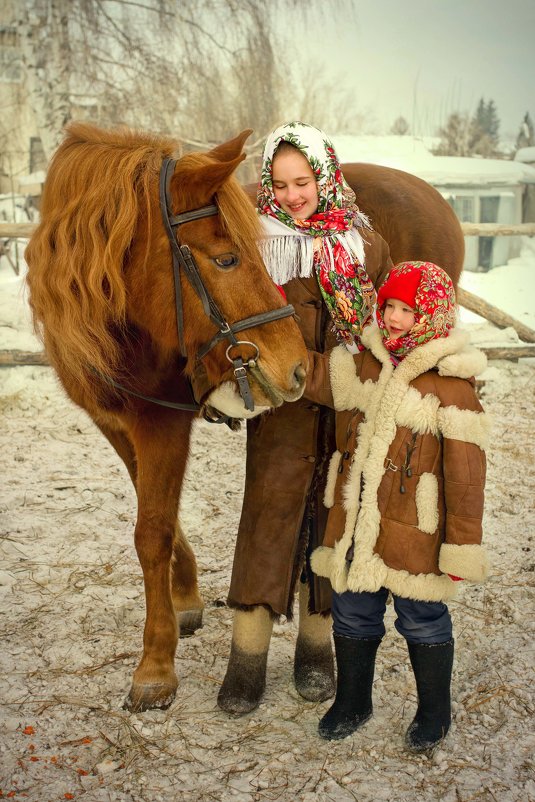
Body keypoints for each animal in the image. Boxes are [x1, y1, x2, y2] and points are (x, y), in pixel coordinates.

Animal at [26, 122, 310, 708]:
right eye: (226, 259)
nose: (298, 368)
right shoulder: (117, 421)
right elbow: (152, 514)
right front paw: (181, 600)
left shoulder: (163, 423)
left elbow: (151, 527)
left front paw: (156, 660)